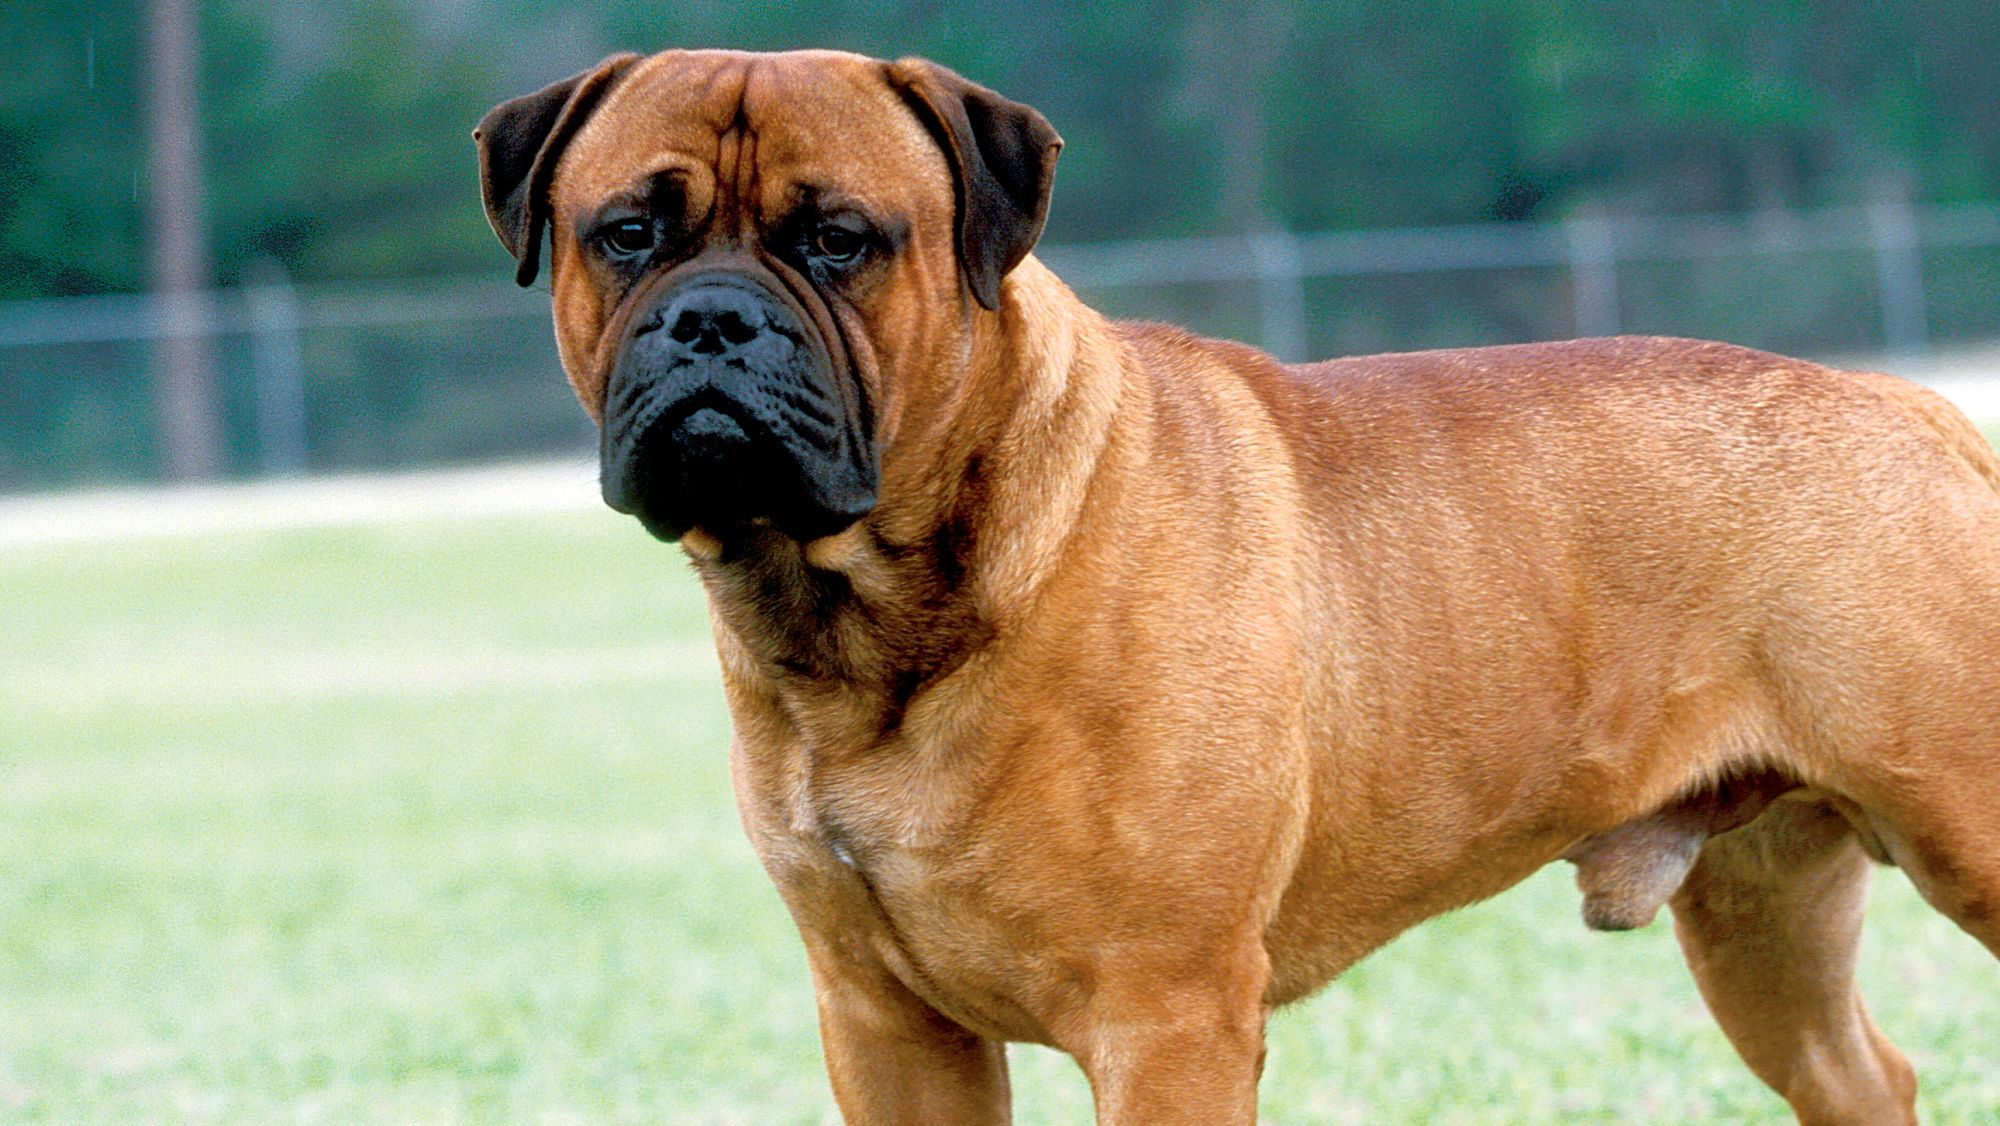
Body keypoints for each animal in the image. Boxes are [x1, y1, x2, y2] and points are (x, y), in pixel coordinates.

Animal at [480, 48, 2000, 1120]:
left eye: (839, 238)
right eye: (625, 233)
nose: (709, 320)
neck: (872, 612)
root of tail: (1909, 404)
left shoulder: (1167, 1013)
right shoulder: (885, 1023)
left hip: (1958, 836)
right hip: (1762, 919)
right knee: (1863, 1078)